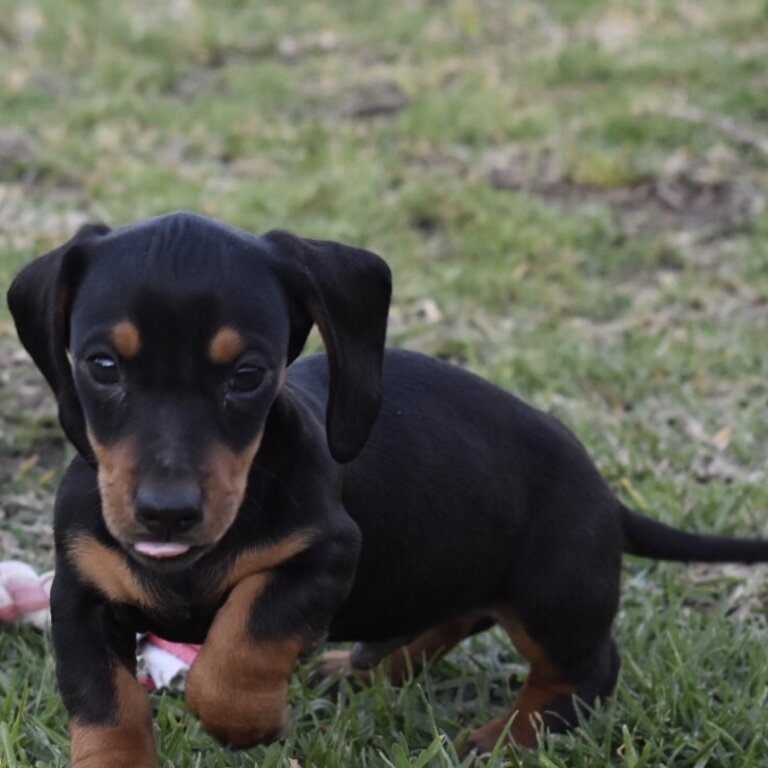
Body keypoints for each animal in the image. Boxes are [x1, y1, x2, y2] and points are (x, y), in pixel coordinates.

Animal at [6, 210, 768, 768]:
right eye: (102, 365)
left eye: (248, 374)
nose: (166, 515)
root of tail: (605, 495)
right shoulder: (81, 596)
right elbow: (106, 706)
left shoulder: (324, 554)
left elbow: (244, 633)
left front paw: (244, 720)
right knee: (457, 615)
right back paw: (362, 667)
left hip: (554, 594)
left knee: (587, 671)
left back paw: (508, 737)